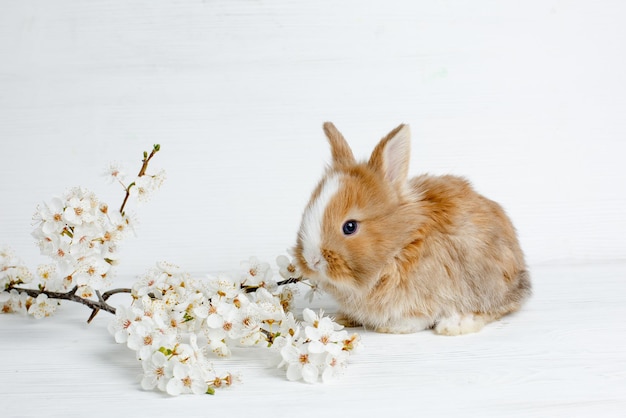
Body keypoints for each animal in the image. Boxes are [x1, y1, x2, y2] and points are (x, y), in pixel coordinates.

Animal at [292, 121, 528, 336]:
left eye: (350, 226)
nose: (312, 260)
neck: (401, 245)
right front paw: (344, 317)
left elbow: (416, 318)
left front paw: (392, 328)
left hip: (485, 282)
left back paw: (455, 324)